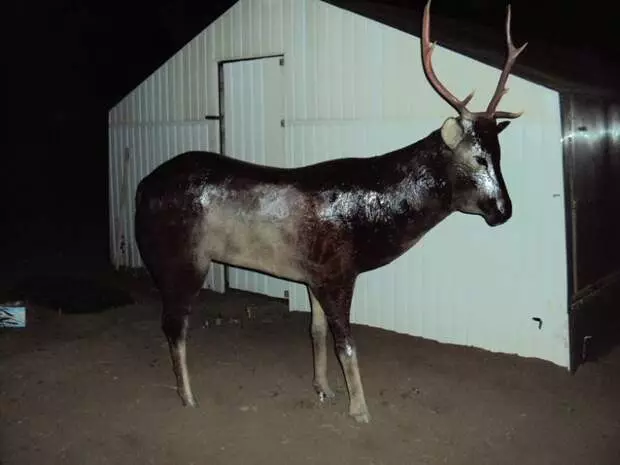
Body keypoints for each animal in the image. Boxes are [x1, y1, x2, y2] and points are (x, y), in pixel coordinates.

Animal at [133, 0, 524, 422]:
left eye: (500, 155)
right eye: (479, 157)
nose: (504, 210)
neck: (373, 223)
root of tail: (140, 189)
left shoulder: (312, 273)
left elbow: (315, 331)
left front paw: (322, 387)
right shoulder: (337, 271)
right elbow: (346, 343)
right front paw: (360, 409)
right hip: (181, 256)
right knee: (174, 325)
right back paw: (188, 396)